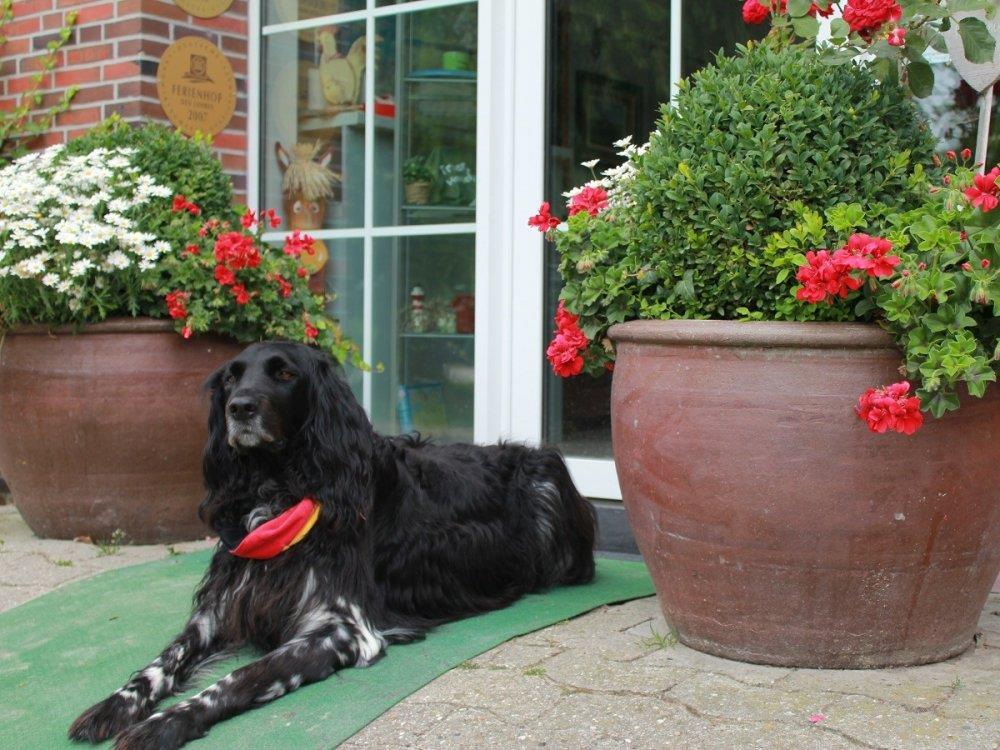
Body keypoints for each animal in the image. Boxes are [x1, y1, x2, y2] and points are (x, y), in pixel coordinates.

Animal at [69, 341, 596, 749]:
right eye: (231, 378)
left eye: (284, 373)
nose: (239, 408)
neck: (280, 490)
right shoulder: (221, 608)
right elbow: (162, 660)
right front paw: (115, 705)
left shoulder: (342, 628)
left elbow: (241, 678)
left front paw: (166, 722)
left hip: (548, 478)